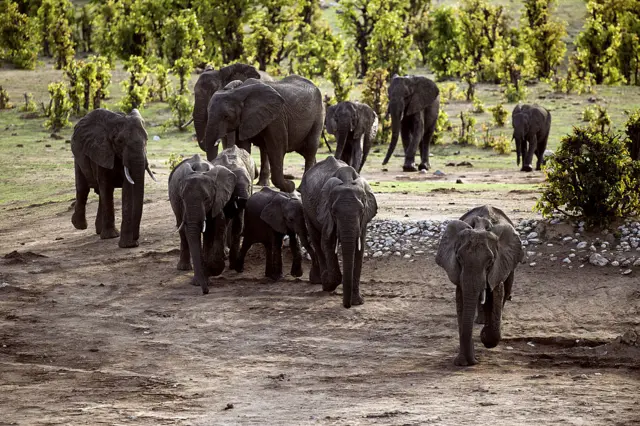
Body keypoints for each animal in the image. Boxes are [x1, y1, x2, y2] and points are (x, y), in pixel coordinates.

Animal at [70, 108, 157, 248]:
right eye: (120, 141)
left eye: (147, 139)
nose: (136, 238)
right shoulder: (101, 151)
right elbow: (106, 186)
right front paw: (112, 237)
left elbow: (128, 189)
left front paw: (128, 245)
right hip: (78, 157)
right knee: (83, 188)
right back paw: (80, 225)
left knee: (99, 193)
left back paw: (99, 230)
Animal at [169, 154, 239, 296]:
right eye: (182, 198)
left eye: (207, 199)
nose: (205, 291)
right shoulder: (183, 205)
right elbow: (189, 231)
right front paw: (199, 281)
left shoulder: (217, 199)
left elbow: (213, 230)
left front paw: (209, 272)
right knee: (181, 230)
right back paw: (183, 268)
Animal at [298, 156, 376, 310]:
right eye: (333, 212)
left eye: (361, 211)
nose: (347, 306)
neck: (347, 181)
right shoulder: (325, 212)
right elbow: (327, 242)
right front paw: (329, 283)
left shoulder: (363, 221)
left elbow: (359, 249)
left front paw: (357, 302)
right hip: (306, 205)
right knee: (316, 240)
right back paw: (322, 281)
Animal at [432, 206, 524, 366]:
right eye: (458, 258)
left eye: (490, 261)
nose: (472, 361)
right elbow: (461, 299)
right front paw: (463, 362)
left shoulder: (499, 264)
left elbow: (497, 293)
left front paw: (485, 336)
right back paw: (481, 321)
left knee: (506, 290)